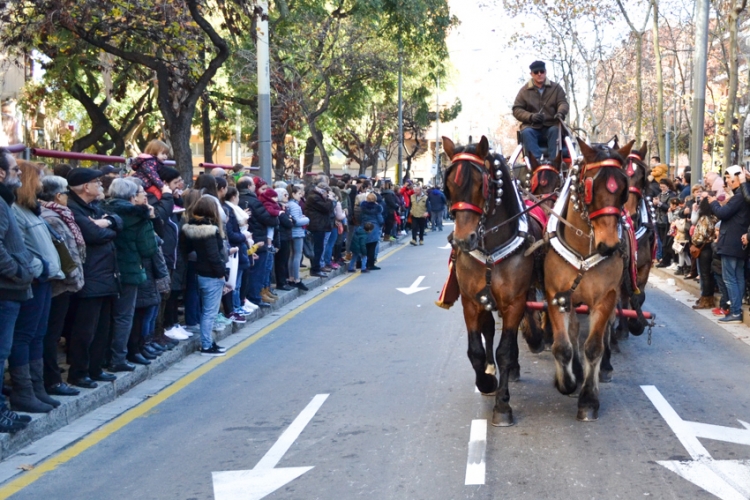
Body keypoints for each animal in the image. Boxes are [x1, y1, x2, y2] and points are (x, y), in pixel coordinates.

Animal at [446, 136, 548, 426]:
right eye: (449, 185)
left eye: (481, 185)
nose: (463, 240)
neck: (491, 250)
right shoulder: (471, 301)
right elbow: (475, 350)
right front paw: (486, 381)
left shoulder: (514, 302)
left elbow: (505, 349)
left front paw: (503, 405)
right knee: (490, 330)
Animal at [548, 139, 636, 420]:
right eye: (589, 187)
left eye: (623, 188)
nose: (609, 246)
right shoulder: (556, 295)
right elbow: (562, 345)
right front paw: (566, 382)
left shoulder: (606, 297)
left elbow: (594, 347)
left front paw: (588, 399)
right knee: (574, 332)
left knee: (605, 331)